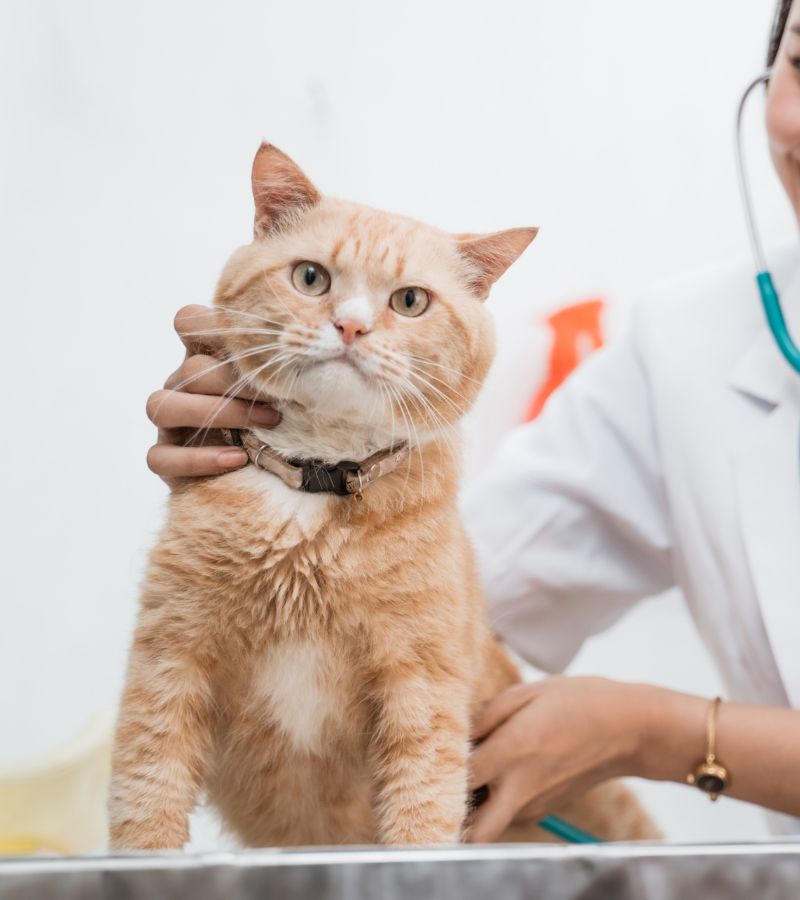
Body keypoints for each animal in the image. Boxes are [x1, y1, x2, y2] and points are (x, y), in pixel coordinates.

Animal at [108, 144, 656, 848]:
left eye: (411, 301)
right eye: (311, 278)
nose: (351, 326)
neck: (315, 487)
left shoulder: (421, 688)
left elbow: (421, 814)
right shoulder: (170, 661)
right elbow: (146, 803)